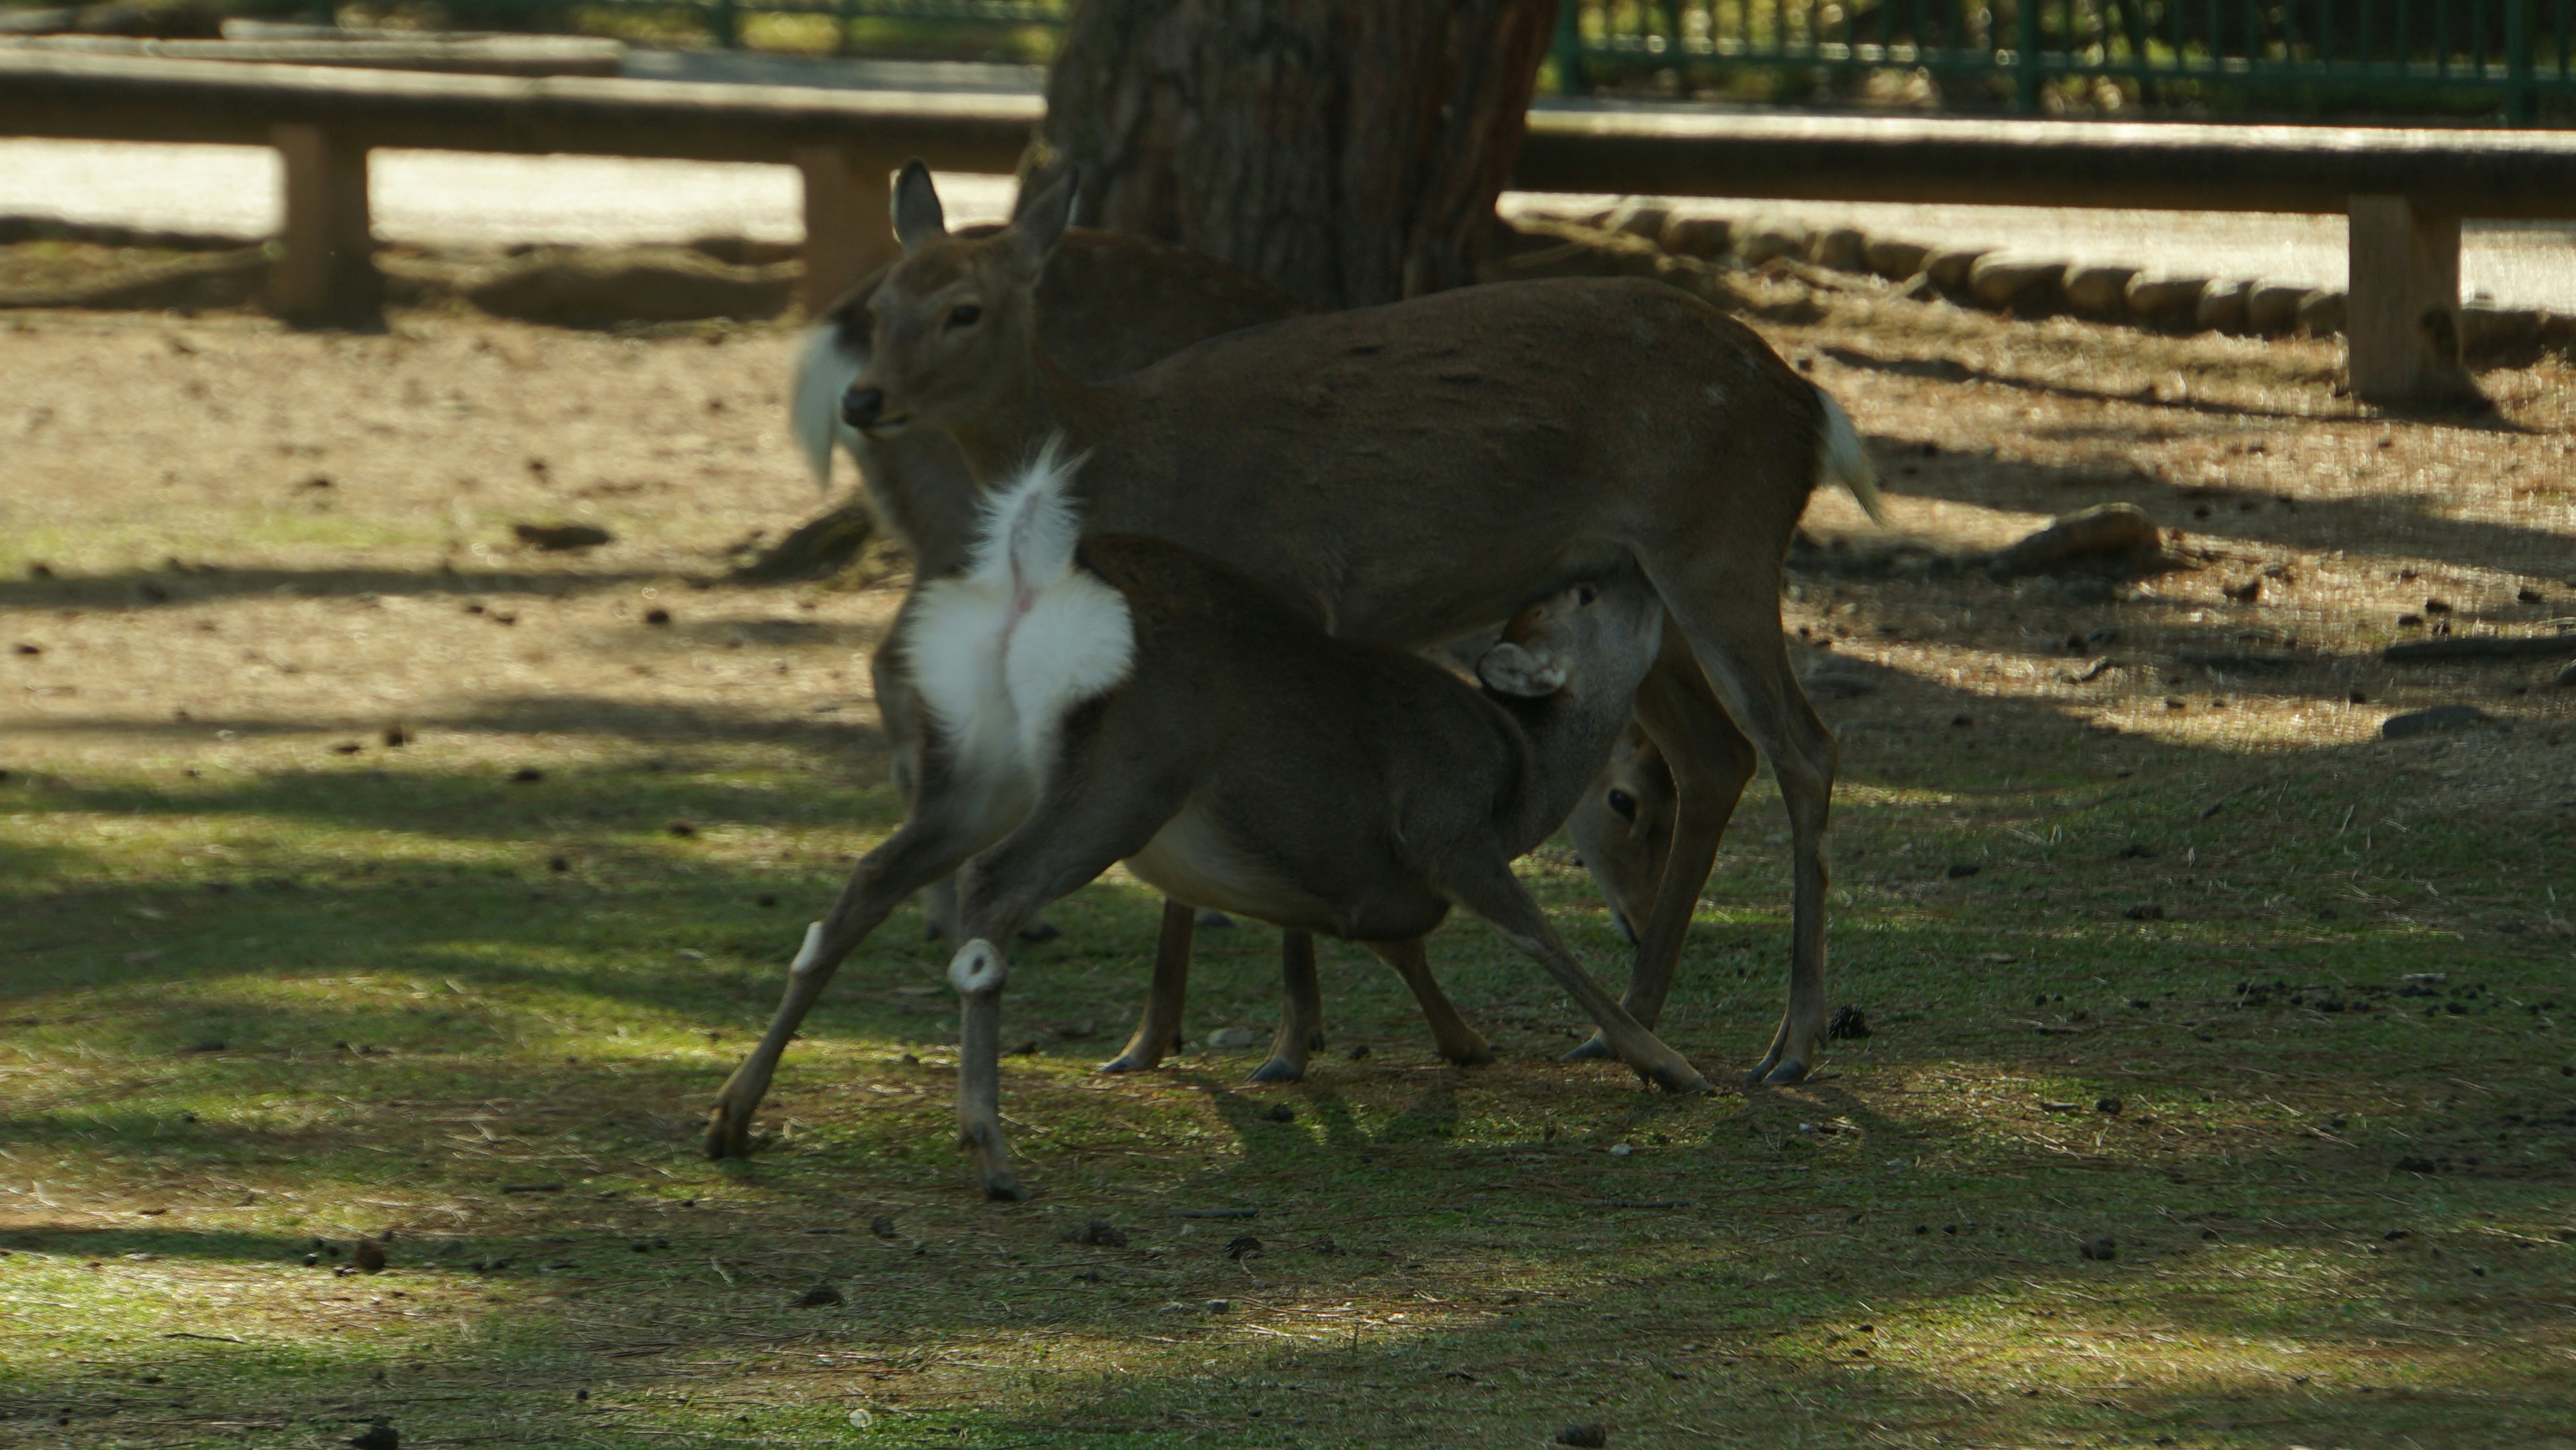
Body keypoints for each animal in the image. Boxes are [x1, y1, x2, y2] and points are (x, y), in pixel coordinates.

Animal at [757, 442, 1701, 1200]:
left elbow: (1400, 943)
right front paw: (1664, 1062)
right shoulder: (1446, 823)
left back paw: (739, 1115)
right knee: (993, 890)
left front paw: (1461, 1041)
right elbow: (1535, 933)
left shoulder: (1372, 878)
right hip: (1132, 766)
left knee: (871, 874)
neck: (1520, 778)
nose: (1639, 570)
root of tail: (1030, 577)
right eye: (1587, 592)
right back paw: (990, 1151)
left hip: (983, 761)